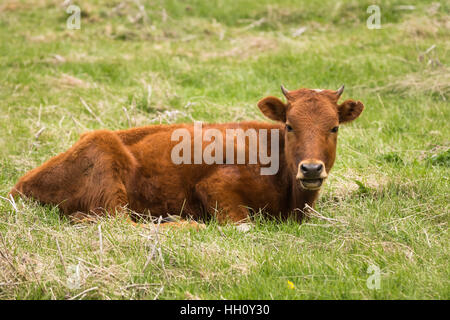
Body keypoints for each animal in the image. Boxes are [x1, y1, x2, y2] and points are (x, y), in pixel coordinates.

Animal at [8, 85, 364, 225]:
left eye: (334, 127)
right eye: (289, 126)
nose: (312, 168)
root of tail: (20, 186)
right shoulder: (215, 187)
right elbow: (243, 224)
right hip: (105, 159)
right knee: (119, 224)